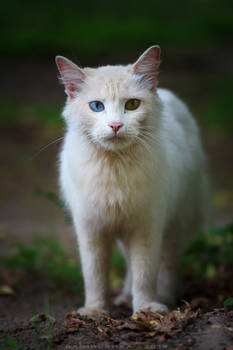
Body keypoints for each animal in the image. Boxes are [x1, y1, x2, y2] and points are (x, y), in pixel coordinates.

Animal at [55, 45, 208, 316]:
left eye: (132, 105)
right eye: (97, 106)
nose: (116, 125)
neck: (114, 166)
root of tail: (166, 93)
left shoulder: (146, 228)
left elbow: (145, 274)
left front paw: (146, 309)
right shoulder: (91, 229)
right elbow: (94, 276)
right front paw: (94, 311)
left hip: (174, 225)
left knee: (167, 266)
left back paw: (164, 301)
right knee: (129, 268)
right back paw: (125, 298)